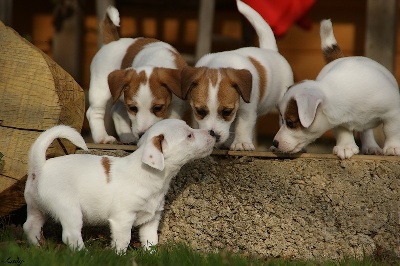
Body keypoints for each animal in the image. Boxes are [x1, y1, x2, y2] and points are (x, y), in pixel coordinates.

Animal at [22, 119, 216, 252]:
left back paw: (38, 248)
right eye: (189, 135)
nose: (213, 132)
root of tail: (40, 167)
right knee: (71, 235)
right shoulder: (123, 219)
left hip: (36, 208)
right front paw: (120, 256)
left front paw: (152, 256)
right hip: (70, 210)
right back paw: (84, 254)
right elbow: (123, 241)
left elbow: (151, 241)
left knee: (30, 227)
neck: (150, 176)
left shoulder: (151, 221)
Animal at [85, 5, 188, 143]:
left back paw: (127, 137)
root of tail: (111, 42)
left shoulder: (178, 103)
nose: (142, 134)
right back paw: (102, 137)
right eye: (133, 108)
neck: (156, 60)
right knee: (94, 112)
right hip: (100, 89)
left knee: (116, 111)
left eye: (157, 108)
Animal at [181, 0, 294, 151]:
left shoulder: (246, 110)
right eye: (200, 111)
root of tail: (270, 50)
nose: (214, 135)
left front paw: (241, 142)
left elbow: (242, 126)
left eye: (227, 112)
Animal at [272, 19, 400, 159]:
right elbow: (343, 132)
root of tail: (341, 57)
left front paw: (393, 147)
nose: (274, 142)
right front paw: (346, 147)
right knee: (366, 130)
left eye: (290, 123)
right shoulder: (338, 119)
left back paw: (372, 147)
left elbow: (391, 129)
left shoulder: (393, 111)